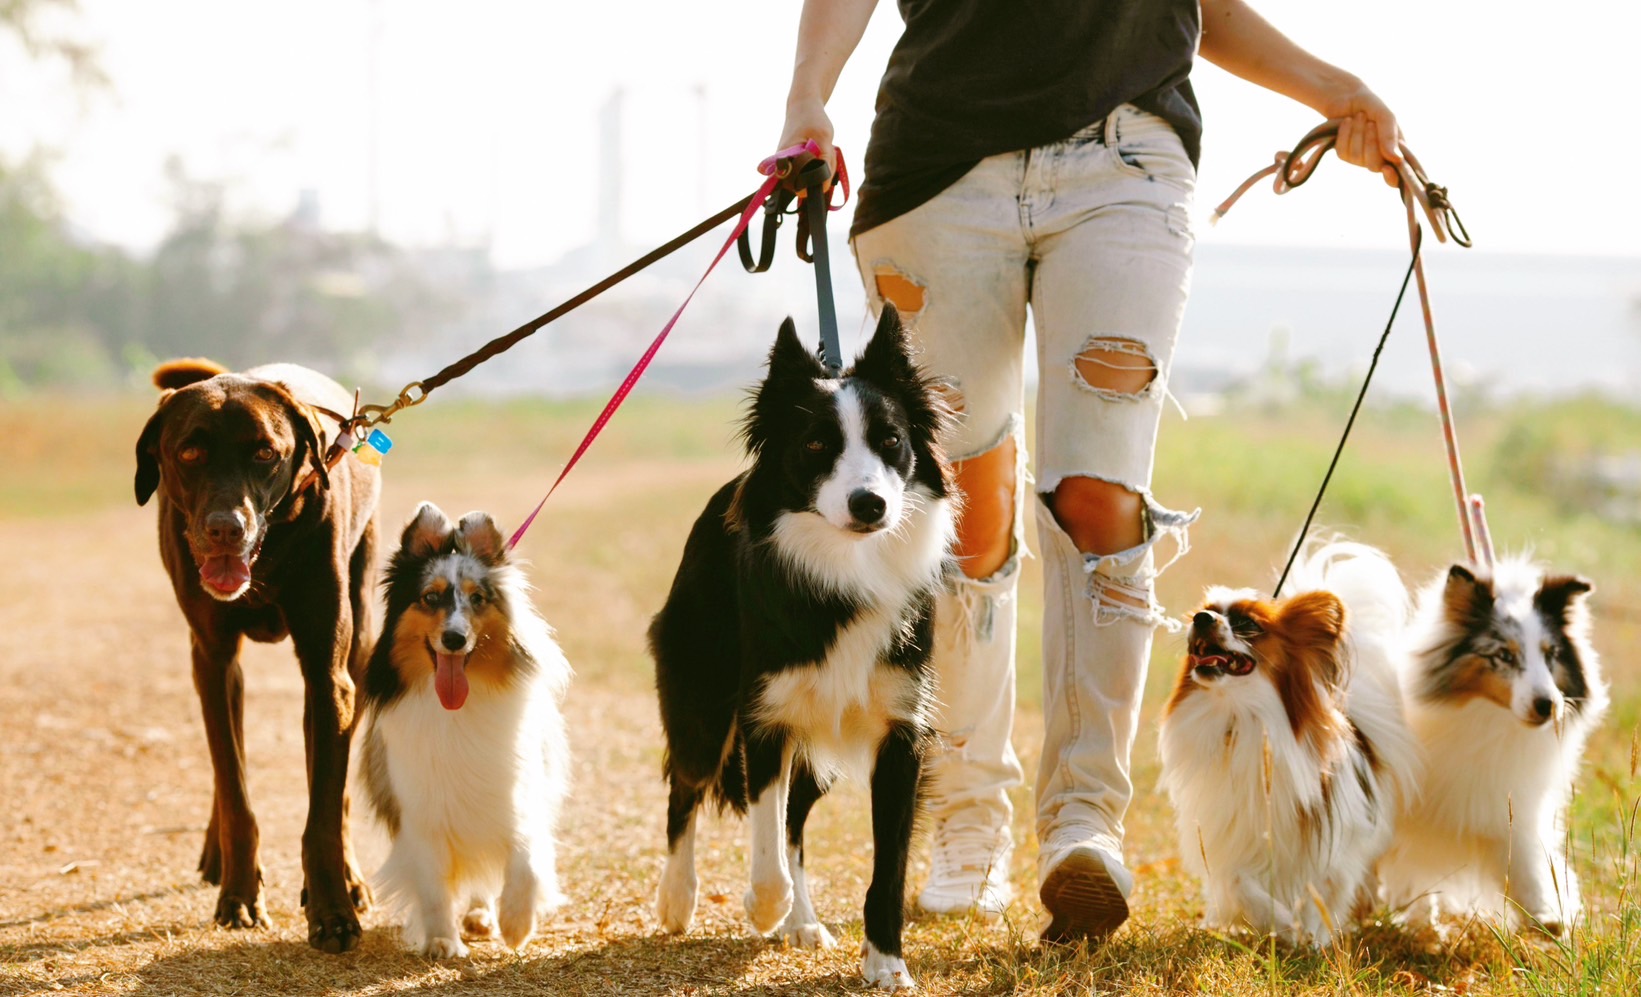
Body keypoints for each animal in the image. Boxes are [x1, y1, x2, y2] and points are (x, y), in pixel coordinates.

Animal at [359, 505, 571, 957]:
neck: (455, 711)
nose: (454, 639)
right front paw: (442, 940)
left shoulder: (516, 795)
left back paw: (483, 915)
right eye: (430, 597)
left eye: (478, 599)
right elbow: (434, 888)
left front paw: (516, 924)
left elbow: (526, 859)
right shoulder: (420, 813)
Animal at [649, 305, 958, 990]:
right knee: (686, 787)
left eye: (891, 440)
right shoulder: (765, 715)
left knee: (794, 819)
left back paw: (803, 920)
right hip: (703, 698)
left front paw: (886, 962)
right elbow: (764, 840)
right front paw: (764, 907)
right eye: (816, 445)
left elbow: (886, 864)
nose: (870, 504)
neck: (846, 566)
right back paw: (679, 899)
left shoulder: (902, 730)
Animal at [1155, 541, 1424, 944]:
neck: (1241, 718)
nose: (1201, 618)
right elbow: (1239, 884)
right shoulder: (1231, 833)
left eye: (1248, 624)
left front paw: (1310, 938)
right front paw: (1281, 925)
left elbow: (1320, 894)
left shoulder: (1332, 845)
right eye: (1208, 611)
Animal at [1385, 560, 1601, 931]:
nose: (1548, 705)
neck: (1490, 722)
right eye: (1504, 655)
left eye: (1551, 655)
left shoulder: (1508, 807)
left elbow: (1526, 863)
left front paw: (1548, 915)